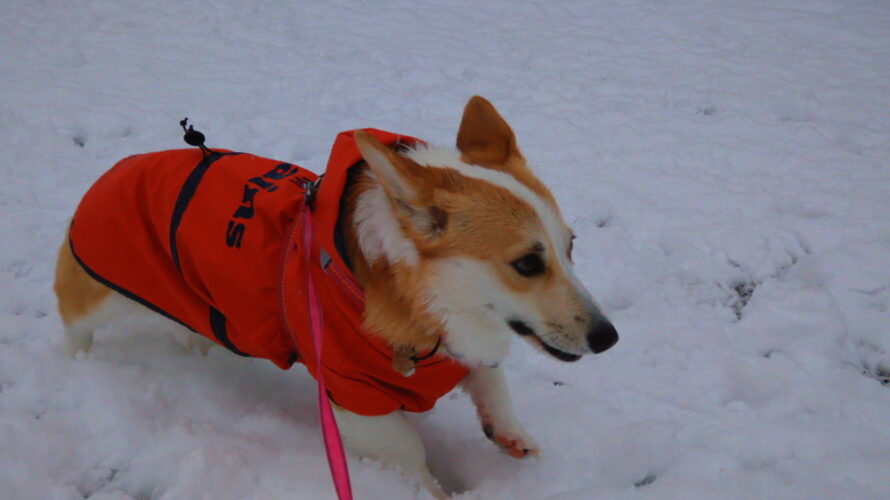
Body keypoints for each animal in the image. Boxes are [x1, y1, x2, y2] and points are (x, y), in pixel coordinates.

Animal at [52, 95, 612, 498]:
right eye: (527, 264)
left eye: (571, 246)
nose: (609, 338)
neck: (427, 309)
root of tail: (111, 172)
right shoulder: (355, 398)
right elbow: (410, 455)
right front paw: (432, 492)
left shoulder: (466, 348)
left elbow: (493, 386)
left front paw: (514, 436)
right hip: (98, 286)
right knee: (73, 322)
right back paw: (79, 365)